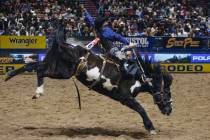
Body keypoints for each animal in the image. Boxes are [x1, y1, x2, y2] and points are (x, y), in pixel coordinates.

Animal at [4, 27, 173, 135]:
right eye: (166, 94)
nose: (170, 110)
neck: (138, 75)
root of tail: (65, 44)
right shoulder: (125, 97)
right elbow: (141, 109)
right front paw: (150, 128)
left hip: (53, 65)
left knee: (32, 65)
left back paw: (9, 75)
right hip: (62, 72)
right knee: (39, 71)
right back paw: (38, 91)